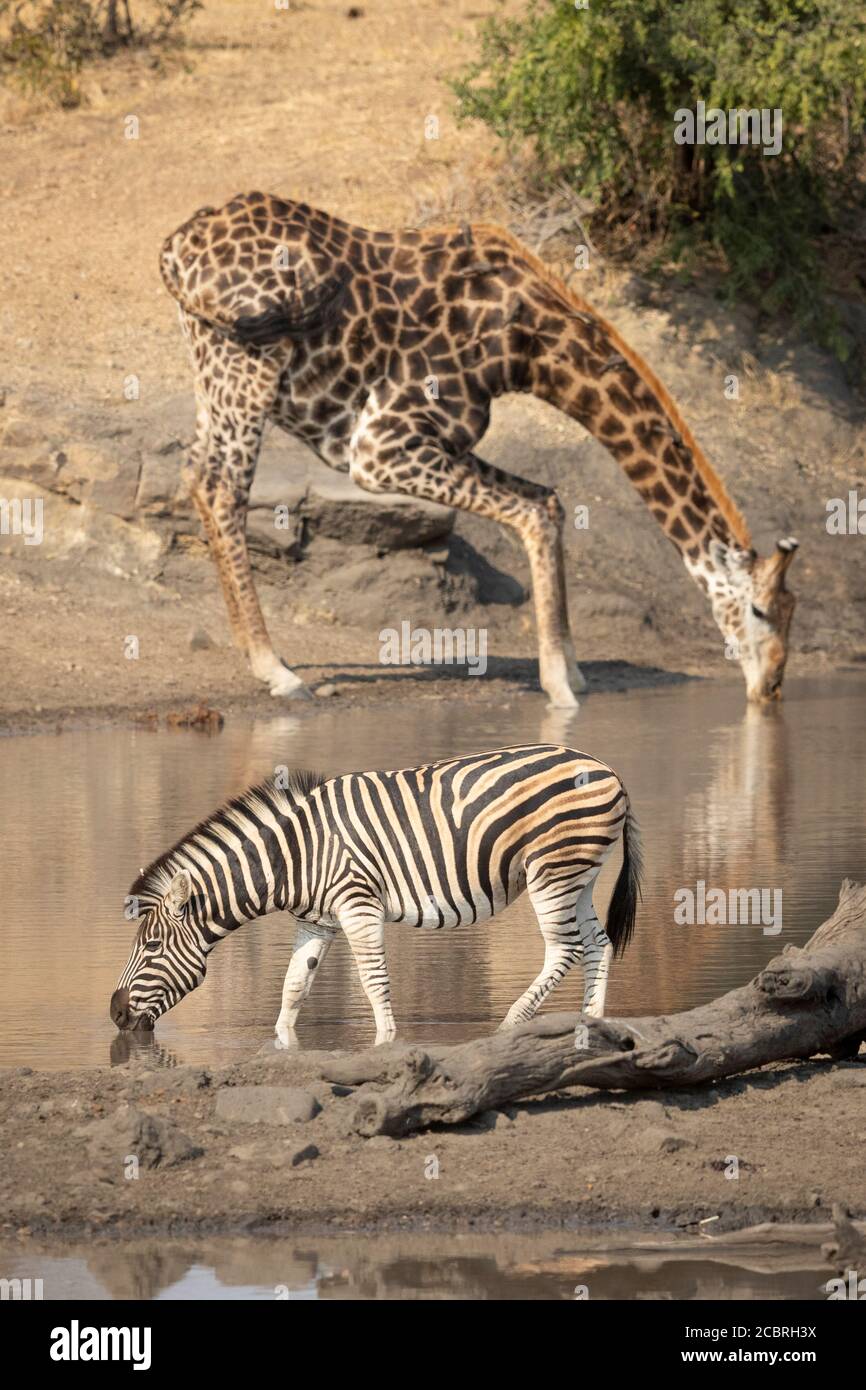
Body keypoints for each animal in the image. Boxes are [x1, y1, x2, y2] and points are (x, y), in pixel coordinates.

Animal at [111, 745, 639, 1039]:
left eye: (151, 946)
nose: (114, 1013)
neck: (297, 853)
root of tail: (606, 768)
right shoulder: (317, 921)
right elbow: (293, 985)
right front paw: (281, 1040)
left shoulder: (357, 905)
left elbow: (372, 980)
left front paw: (386, 1041)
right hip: (580, 874)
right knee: (597, 943)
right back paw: (592, 1024)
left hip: (551, 870)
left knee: (565, 948)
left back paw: (510, 1024)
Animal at [157, 193, 800, 706]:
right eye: (760, 610)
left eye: (792, 613)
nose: (771, 688)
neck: (531, 348)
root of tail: (175, 247)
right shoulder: (380, 448)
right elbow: (534, 514)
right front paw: (560, 690)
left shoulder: (442, 438)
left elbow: (548, 503)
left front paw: (572, 670)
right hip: (249, 364)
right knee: (222, 488)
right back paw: (276, 670)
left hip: (210, 364)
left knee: (195, 476)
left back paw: (260, 655)